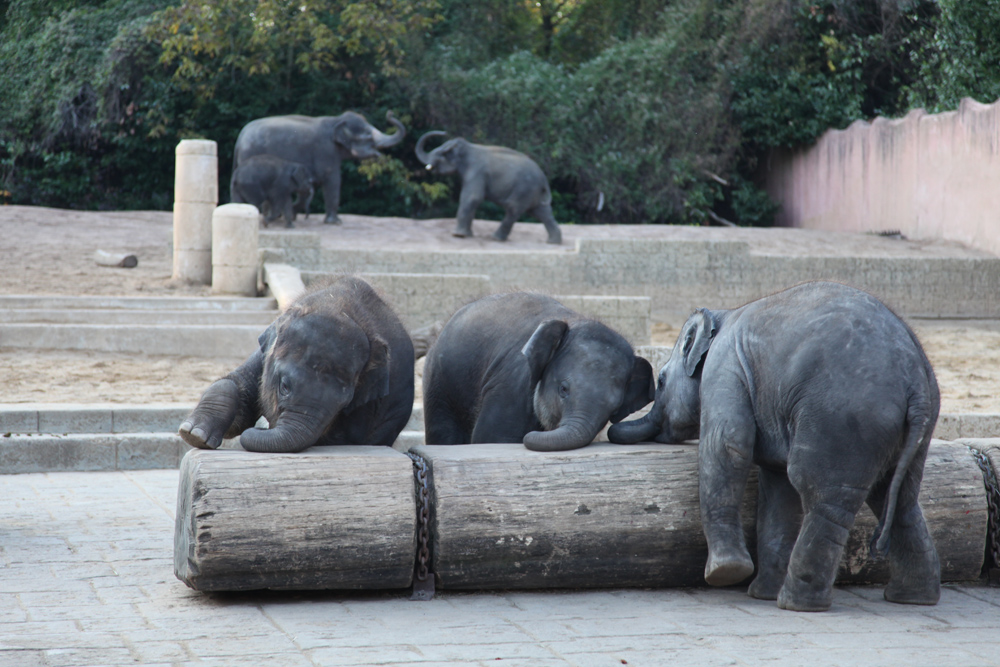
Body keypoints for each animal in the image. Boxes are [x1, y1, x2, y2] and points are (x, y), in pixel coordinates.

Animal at [179, 276, 414, 454]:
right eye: (284, 387)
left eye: (344, 403)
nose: (265, 427)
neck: (337, 305)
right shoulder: (266, 351)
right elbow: (237, 385)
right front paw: (195, 435)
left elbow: (345, 439)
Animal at [232, 109, 404, 224]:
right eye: (368, 136)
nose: (390, 113)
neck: (335, 120)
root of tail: (240, 138)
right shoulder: (326, 153)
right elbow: (333, 181)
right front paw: (335, 222)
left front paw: (294, 212)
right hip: (251, 155)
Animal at [414, 131, 564, 245]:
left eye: (440, 154)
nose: (444, 133)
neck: (468, 148)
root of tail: (544, 180)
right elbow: (473, 200)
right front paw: (467, 235)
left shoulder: (477, 172)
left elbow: (472, 198)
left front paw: (458, 235)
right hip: (533, 194)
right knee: (542, 213)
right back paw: (553, 242)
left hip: (524, 190)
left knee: (513, 209)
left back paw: (495, 238)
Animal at [424, 290, 652, 448]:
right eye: (563, 389)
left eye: (614, 409)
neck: (574, 320)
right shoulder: (511, 387)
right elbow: (492, 437)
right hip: (440, 383)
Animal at [604, 280, 940, 612]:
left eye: (660, 381)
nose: (611, 428)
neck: (723, 314)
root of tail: (915, 381)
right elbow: (775, 484)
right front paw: (758, 594)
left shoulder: (724, 366)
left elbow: (728, 446)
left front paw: (726, 573)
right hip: (908, 429)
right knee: (899, 499)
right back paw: (912, 598)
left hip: (844, 418)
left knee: (820, 492)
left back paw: (796, 603)